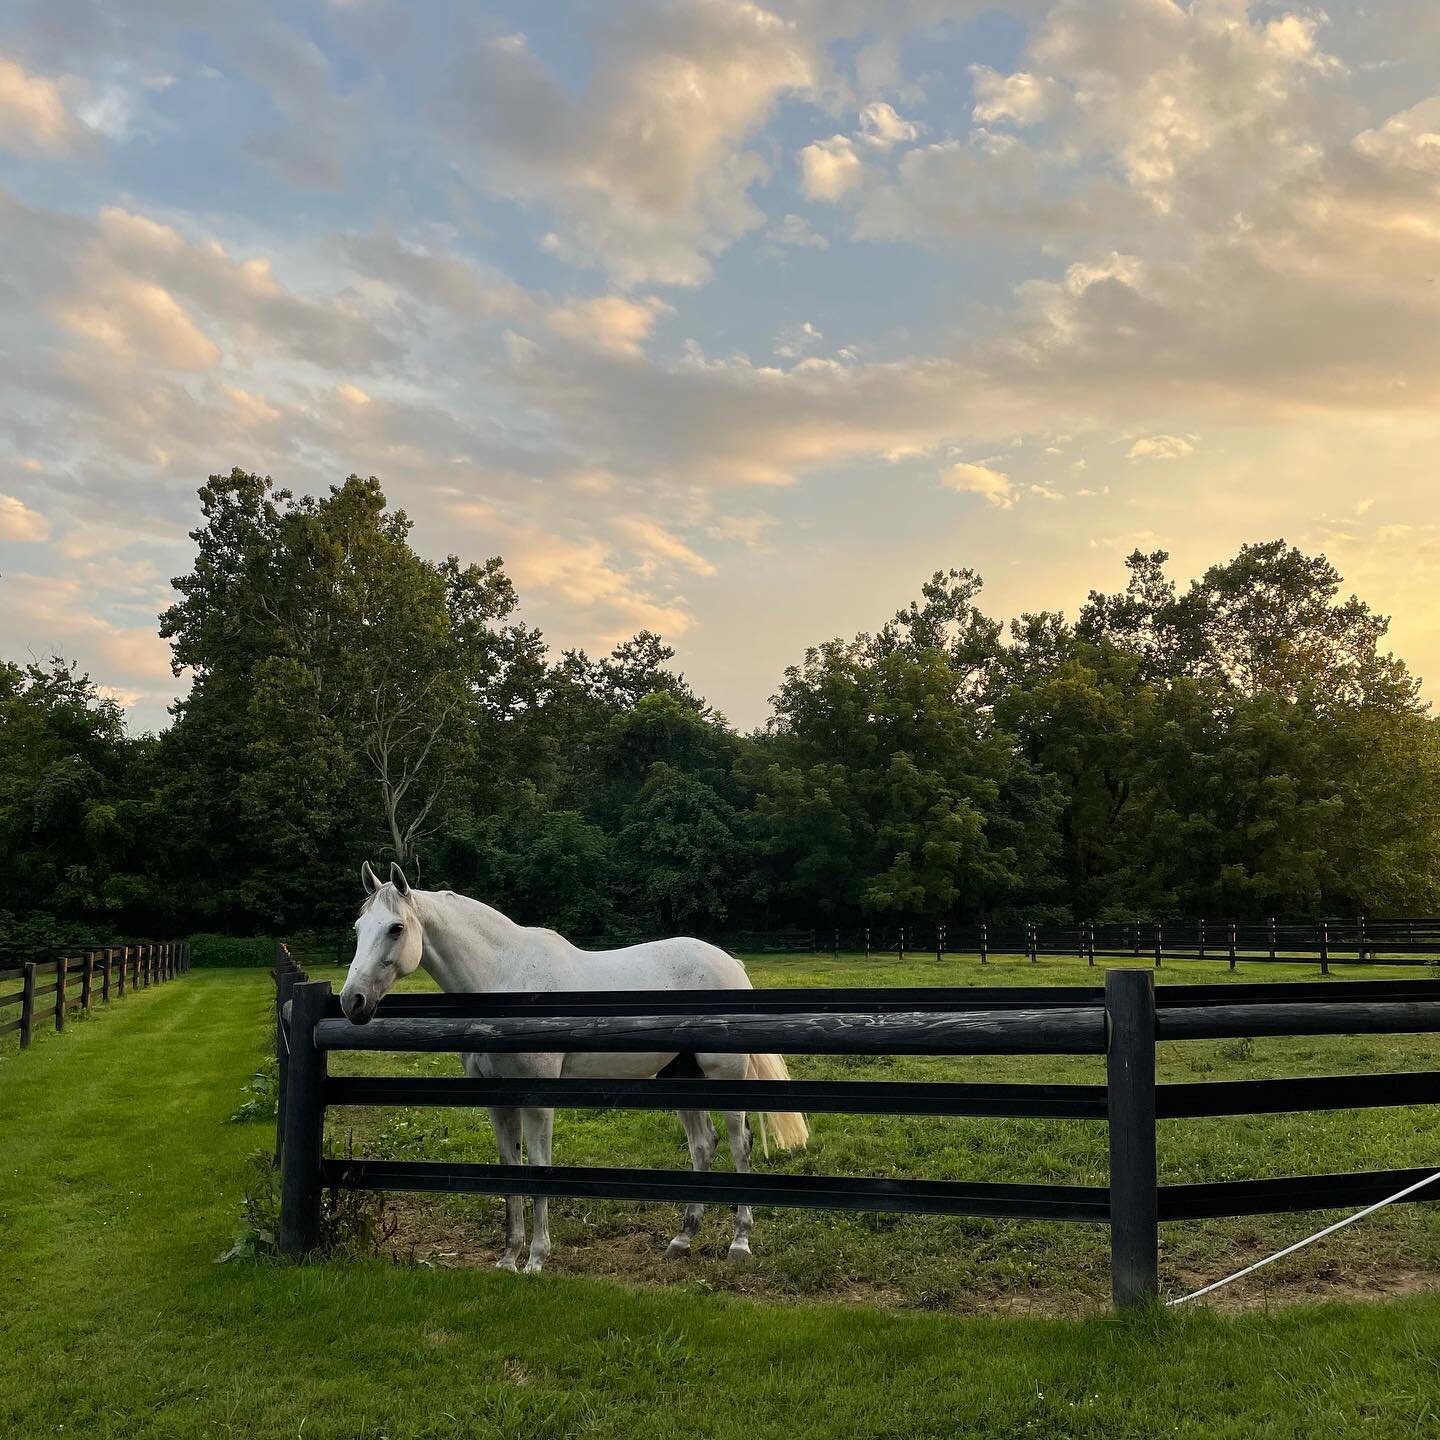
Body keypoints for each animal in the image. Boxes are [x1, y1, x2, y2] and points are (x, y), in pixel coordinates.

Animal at [339, 858, 812, 1267]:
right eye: (358, 928)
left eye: (397, 928)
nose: (352, 1002)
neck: (506, 981)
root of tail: (728, 961)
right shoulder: (496, 1101)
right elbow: (510, 1173)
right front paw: (508, 1259)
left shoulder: (537, 1099)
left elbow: (538, 1170)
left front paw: (535, 1259)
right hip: (681, 1076)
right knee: (703, 1145)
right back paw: (682, 1239)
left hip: (723, 1074)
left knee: (738, 1142)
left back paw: (739, 1244)